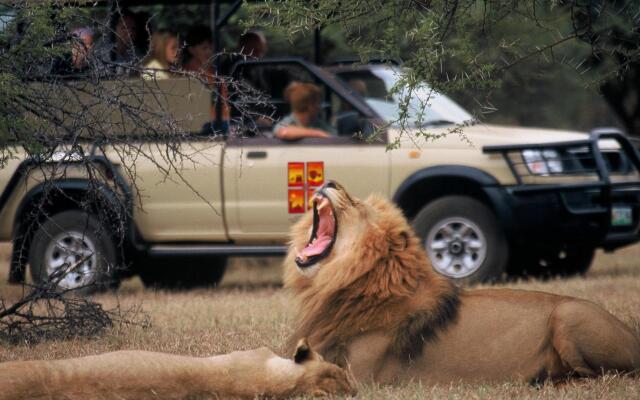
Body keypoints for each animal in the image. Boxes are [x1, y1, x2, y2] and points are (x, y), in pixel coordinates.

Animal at [286, 181, 640, 384]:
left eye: (356, 203)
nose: (330, 181)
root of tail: (632, 334)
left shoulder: (362, 378)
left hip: (569, 315)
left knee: (601, 376)